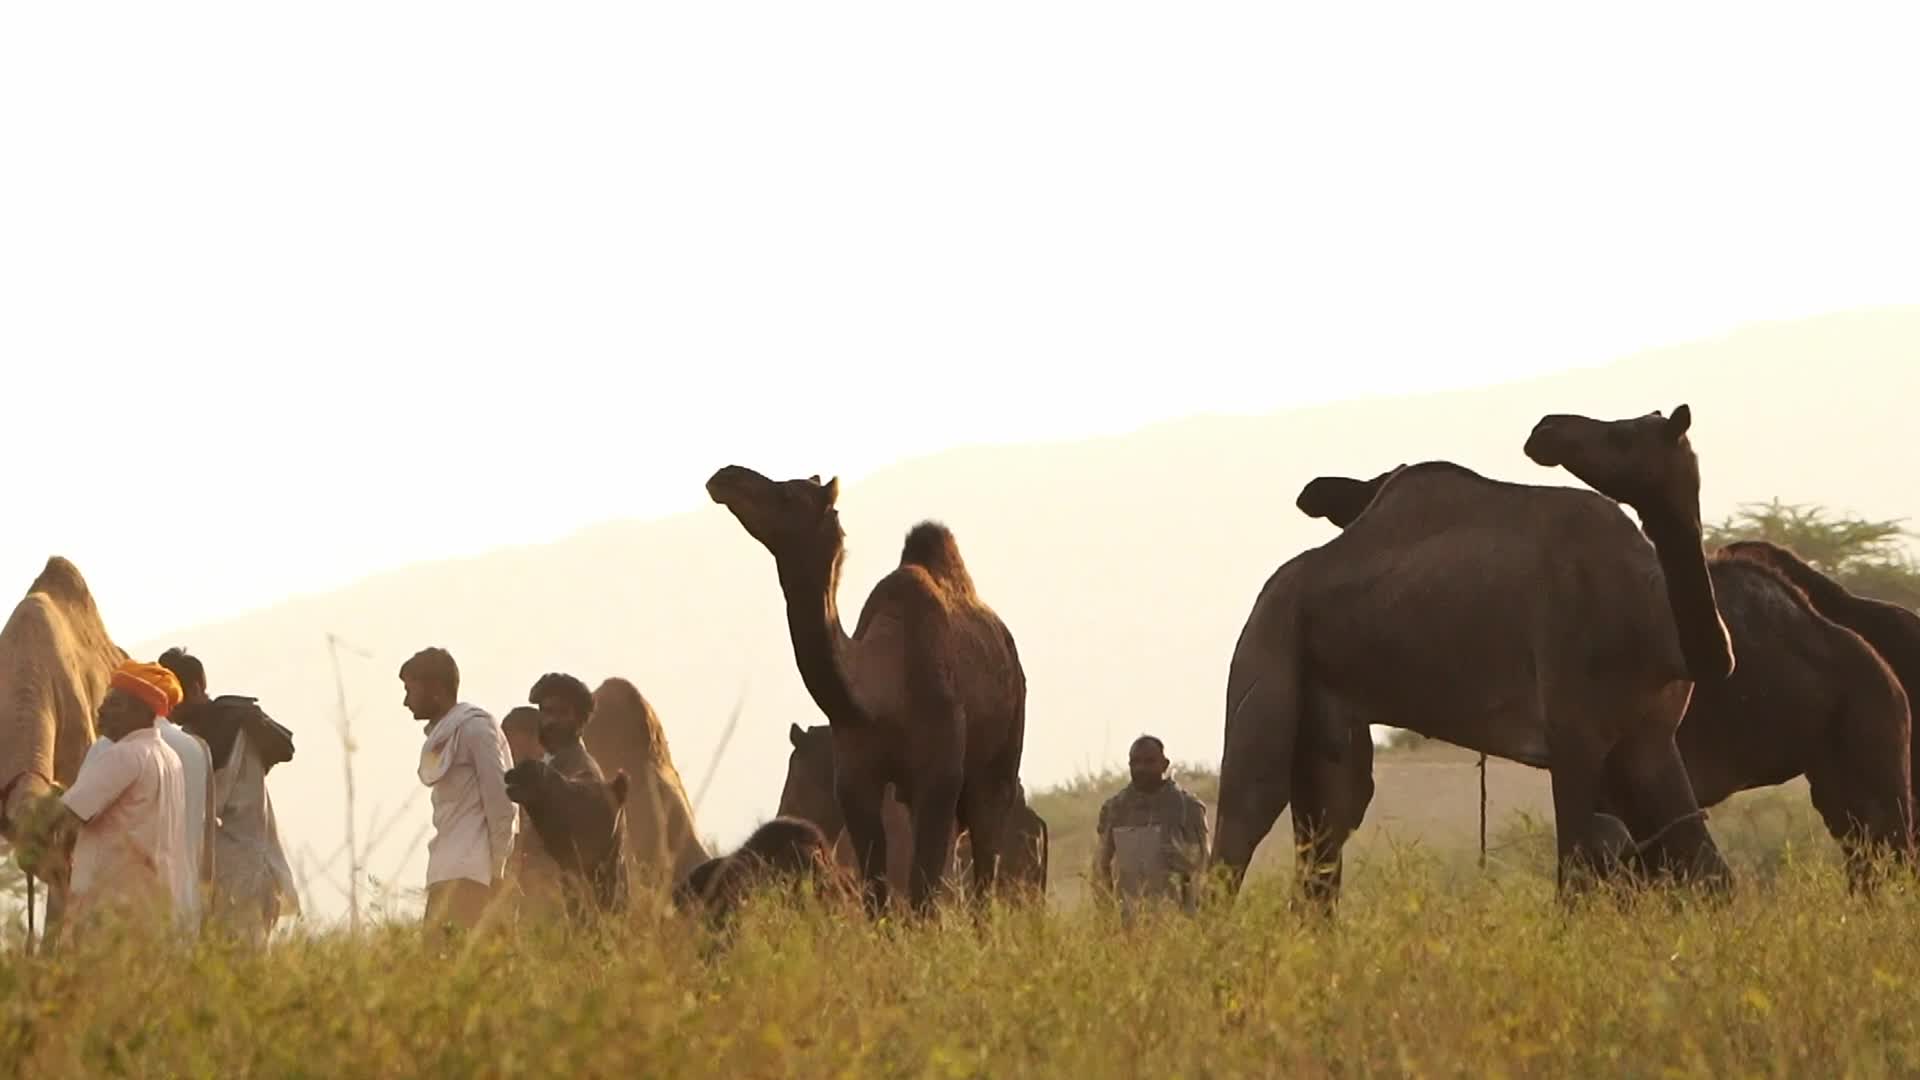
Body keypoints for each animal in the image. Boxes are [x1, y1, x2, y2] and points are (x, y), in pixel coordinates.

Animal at [1216, 406, 1735, 907]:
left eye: (1621, 435)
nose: (1546, 430)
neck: (1655, 627)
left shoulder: (1651, 739)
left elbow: (1712, 873)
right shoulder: (1572, 730)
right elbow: (1574, 877)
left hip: (1327, 725)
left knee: (1323, 854)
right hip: (1268, 645)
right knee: (1242, 821)